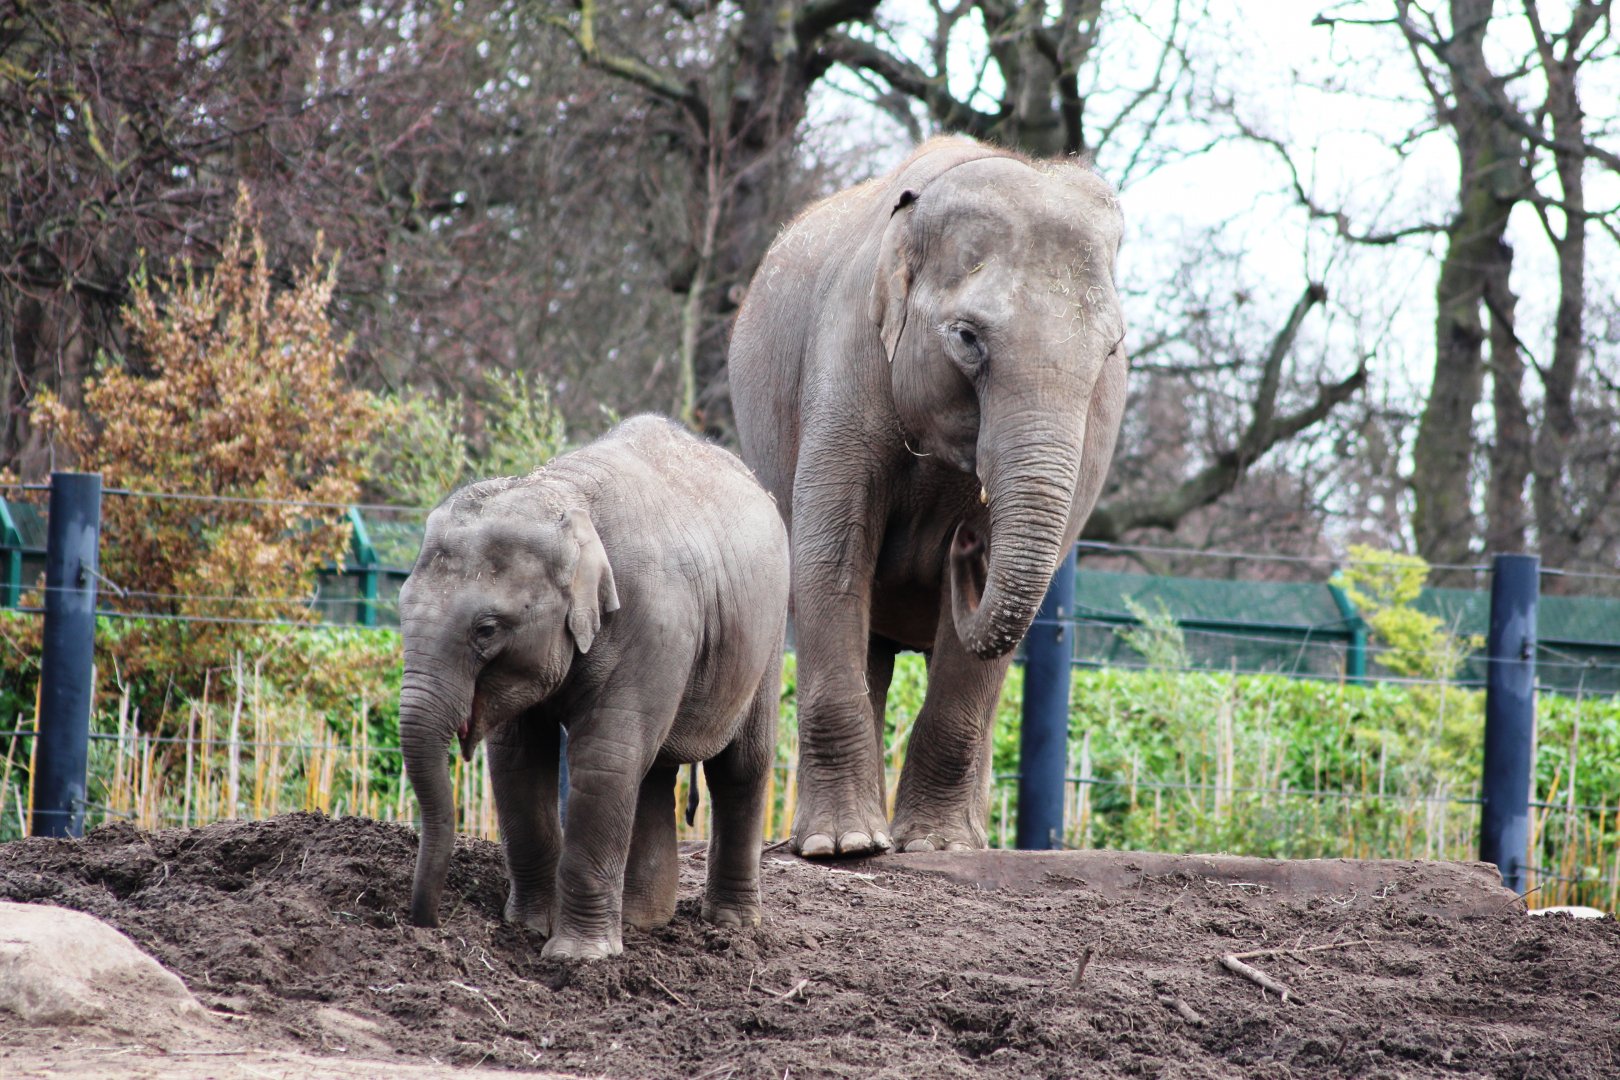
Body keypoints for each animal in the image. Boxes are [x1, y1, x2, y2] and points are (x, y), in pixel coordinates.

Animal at [398, 415, 790, 960]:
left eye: (487, 629)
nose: (425, 925)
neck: (562, 496)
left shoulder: (653, 619)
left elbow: (604, 758)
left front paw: (577, 956)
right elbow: (519, 760)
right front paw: (530, 928)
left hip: (768, 634)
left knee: (739, 764)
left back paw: (731, 925)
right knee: (652, 772)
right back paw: (643, 921)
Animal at [729, 136, 1127, 858]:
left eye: (1111, 350)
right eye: (967, 338)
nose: (968, 543)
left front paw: (940, 848)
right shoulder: (846, 359)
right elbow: (829, 558)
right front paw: (843, 848)